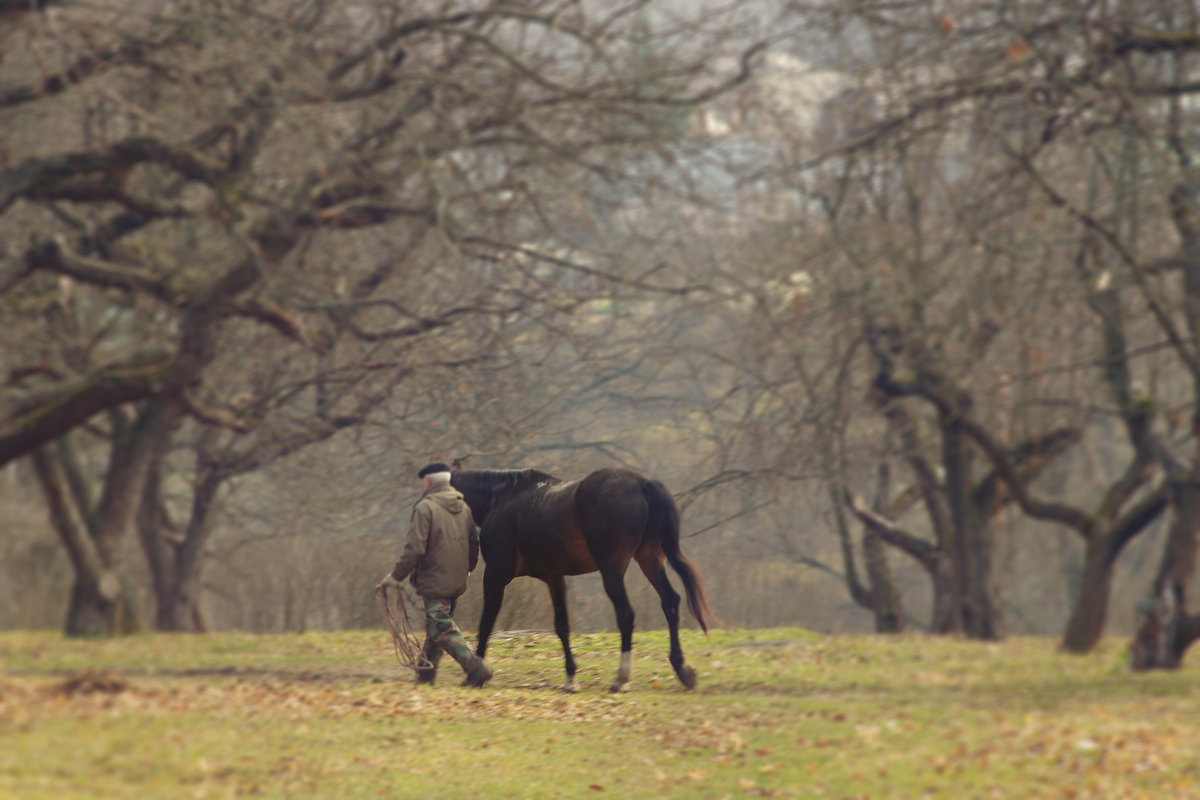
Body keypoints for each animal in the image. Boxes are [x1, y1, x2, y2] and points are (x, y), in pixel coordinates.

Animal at [448, 465, 710, 690]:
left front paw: (476, 673)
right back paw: (681, 668)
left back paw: (621, 678)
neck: (502, 499)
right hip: (650, 560)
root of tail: (641, 483)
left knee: (626, 614)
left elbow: (486, 622)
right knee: (670, 602)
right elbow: (562, 626)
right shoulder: (554, 578)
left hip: (612, 571)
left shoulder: (496, 575)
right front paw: (571, 678)